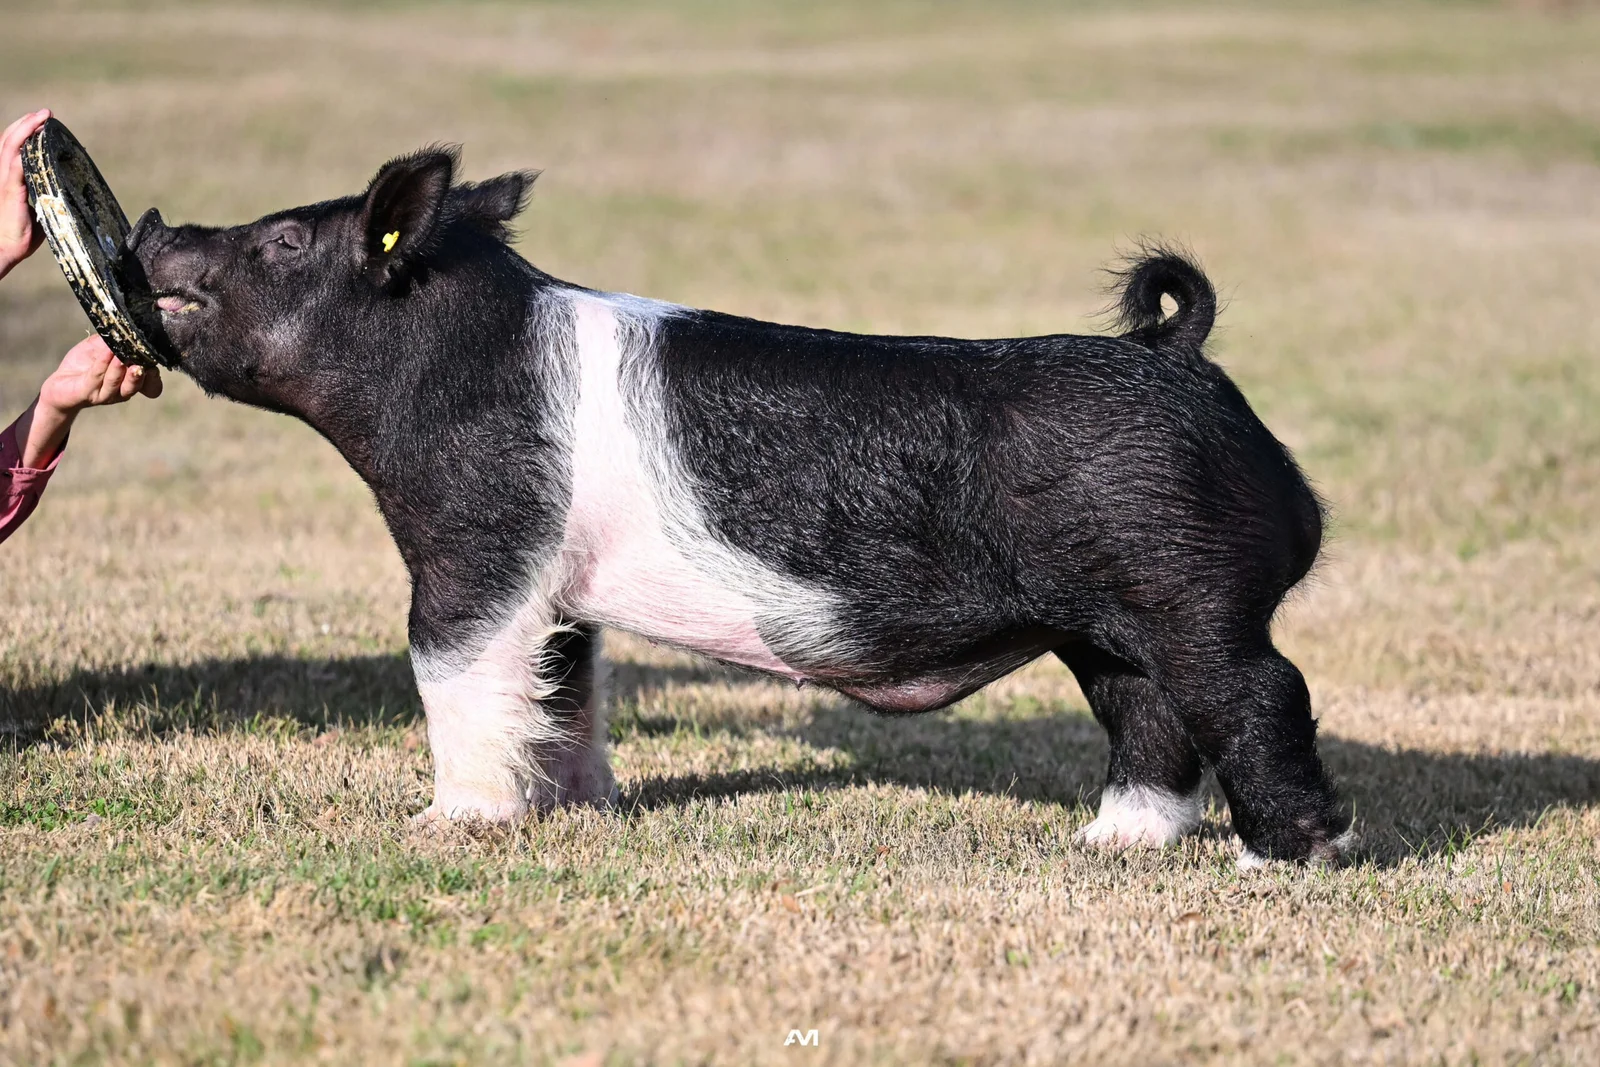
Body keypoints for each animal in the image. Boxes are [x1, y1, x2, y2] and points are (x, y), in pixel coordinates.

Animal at [126, 146, 1350, 864]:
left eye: (284, 239)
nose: (150, 224)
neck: (450, 375)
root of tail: (1178, 356)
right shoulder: (558, 590)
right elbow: (565, 687)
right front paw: (582, 807)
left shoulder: (476, 546)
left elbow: (450, 669)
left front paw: (445, 824)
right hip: (1107, 624)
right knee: (1150, 715)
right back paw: (1113, 845)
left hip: (1189, 591)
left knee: (1260, 691)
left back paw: (1284, 855)